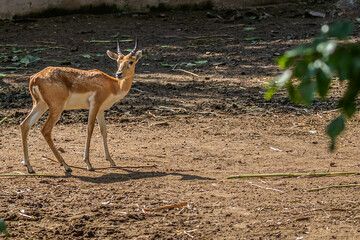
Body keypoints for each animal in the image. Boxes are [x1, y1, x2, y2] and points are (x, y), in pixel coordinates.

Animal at [20, 40, 142, 172]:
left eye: (130, 61)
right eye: (118, 61)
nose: (119, 74)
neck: (113, 85)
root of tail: (34, 78)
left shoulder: (101, 110)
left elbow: (103, 131)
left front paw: (111, 161)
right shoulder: (95, 105)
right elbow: (90, 129)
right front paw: (88, 163)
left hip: (40, 105)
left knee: (24, 125)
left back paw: (29, 166)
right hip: (56, 108)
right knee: (45, 130)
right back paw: (65, 165)